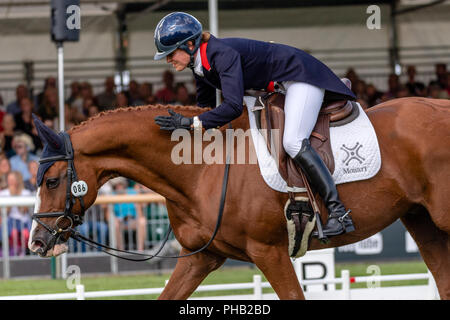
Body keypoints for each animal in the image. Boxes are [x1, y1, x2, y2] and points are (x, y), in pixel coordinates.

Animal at [29, 97, 448, 300]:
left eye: (51, 181)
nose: (36, 242)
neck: (203, 166)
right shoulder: (202, 257)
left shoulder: (269, 252)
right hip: (421, 220)